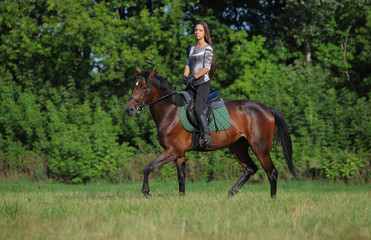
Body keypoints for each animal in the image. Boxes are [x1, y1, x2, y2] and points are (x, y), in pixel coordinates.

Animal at [126, 66, 298, 198]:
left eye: (144, 87)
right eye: (132, 86)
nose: (129, 110)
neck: (171, 111)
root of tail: (266, 108)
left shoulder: (173, 151)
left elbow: (148, 166)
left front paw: (146, 191)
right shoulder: (179, 154)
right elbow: (181, 178)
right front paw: (181, 199)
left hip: (260, 148)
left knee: (272, 172)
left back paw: (272, 200)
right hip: (238, 147)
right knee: (250, 169)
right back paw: (232, 192)